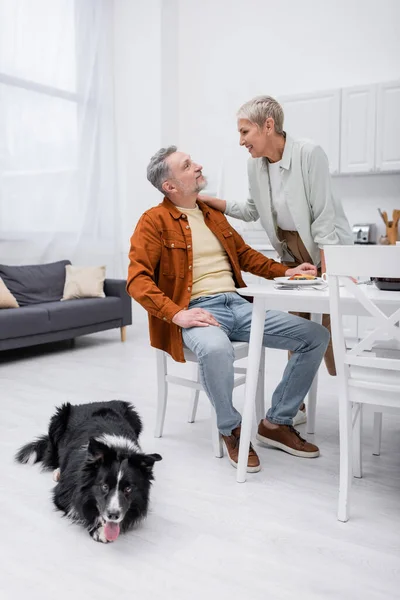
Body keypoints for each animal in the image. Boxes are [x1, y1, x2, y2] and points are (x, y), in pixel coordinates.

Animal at [14, 398, 161, 544]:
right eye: (104, 486)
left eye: (128, 489)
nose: (113, 515)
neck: (117, 449)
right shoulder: (63, 494)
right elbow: (78, 508)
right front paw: (98, 530)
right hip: (57, 420)